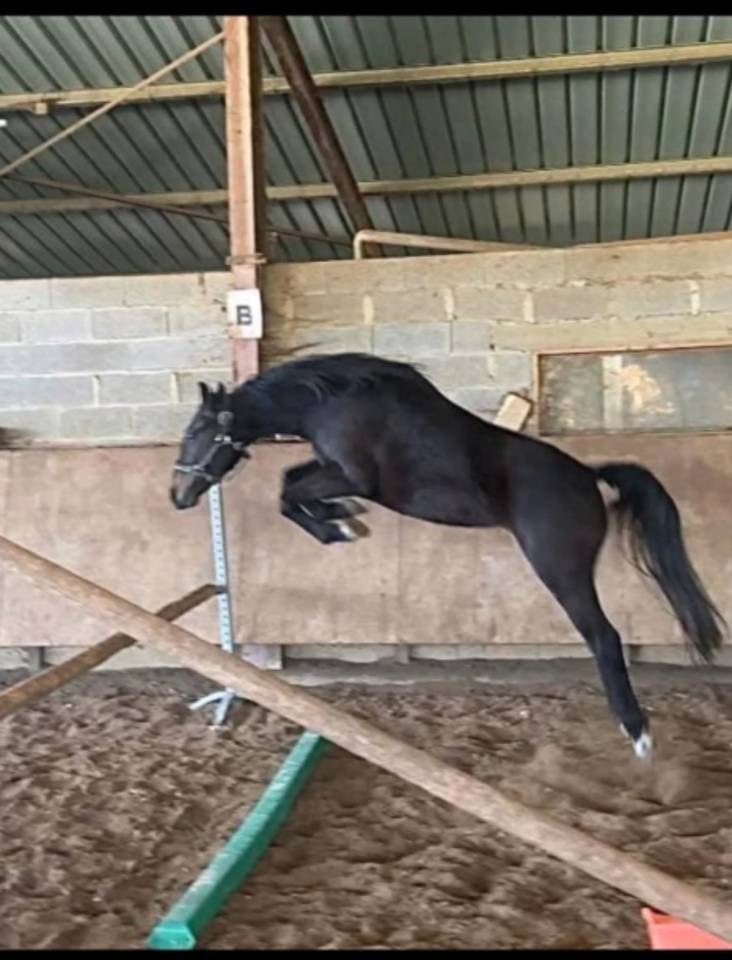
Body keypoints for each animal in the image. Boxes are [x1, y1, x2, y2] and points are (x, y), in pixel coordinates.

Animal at [170, 352, 726, 759]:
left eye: (195, 431)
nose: (178, 495)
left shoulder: (356, 475)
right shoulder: (331, 469)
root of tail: (590, 477)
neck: (334, 401)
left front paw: (341, 525)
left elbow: (288, 493)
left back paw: (637, 733)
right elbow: (293, 482)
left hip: (560, 569)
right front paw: (345, 518)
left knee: (604, 637)